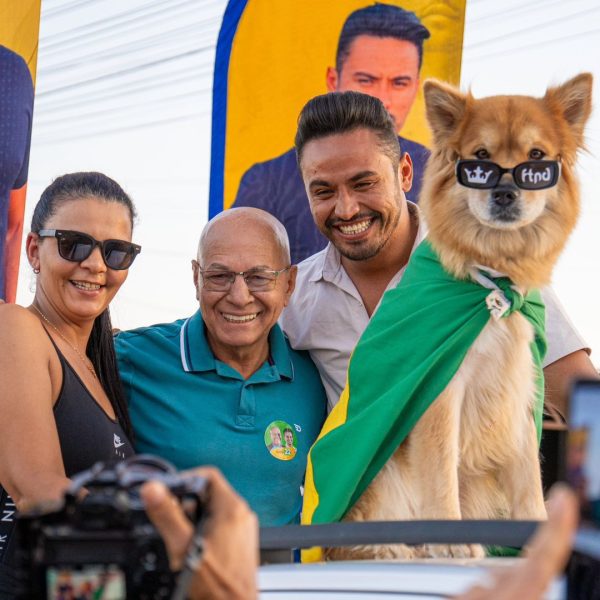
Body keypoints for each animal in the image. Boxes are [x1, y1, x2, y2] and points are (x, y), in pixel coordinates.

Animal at [330, 75, 592, 564]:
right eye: (480, 160)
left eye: (536, 159)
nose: (505, 193)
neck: (489, 278)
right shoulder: (440, 390)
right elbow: (440, 473)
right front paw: (450, 542)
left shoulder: (519, 389)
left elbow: (529, 483)